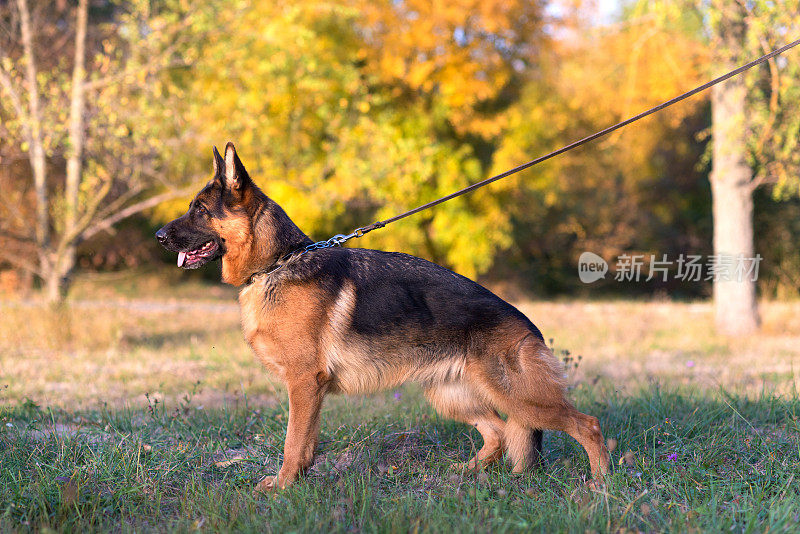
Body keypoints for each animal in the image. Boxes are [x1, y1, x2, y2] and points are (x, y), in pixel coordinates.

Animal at [155, 143, 608, 494]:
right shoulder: (309, 391)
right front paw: (297, 482)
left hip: (518, 396)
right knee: (498, 433)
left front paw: (283, 487)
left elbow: (291, 442)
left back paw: (601, 483)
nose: (158, 236)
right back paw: (463, 475)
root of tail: (527, 324)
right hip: (451, 396)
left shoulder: (304, 383)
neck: (277, 263)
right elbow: (305, 444)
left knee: (587, 424)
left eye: (199, 210)